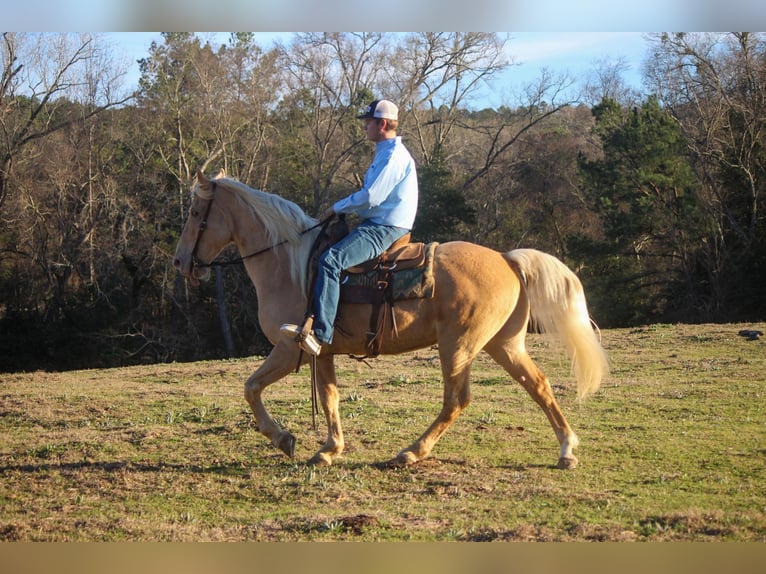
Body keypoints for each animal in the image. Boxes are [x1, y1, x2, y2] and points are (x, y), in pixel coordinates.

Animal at [171, 169, 608, 470]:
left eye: (195, 212)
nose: (180, 262)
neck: (289, 264)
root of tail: (507, 259)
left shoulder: (288, 347)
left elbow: (251, 388)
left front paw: (283, 438)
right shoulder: (321, 352)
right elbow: (329, 397)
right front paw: (329, 450)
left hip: (459, 347)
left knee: (457, 399)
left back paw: (410, 452)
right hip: (504, 344)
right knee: (539, 384)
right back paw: (567, 449)